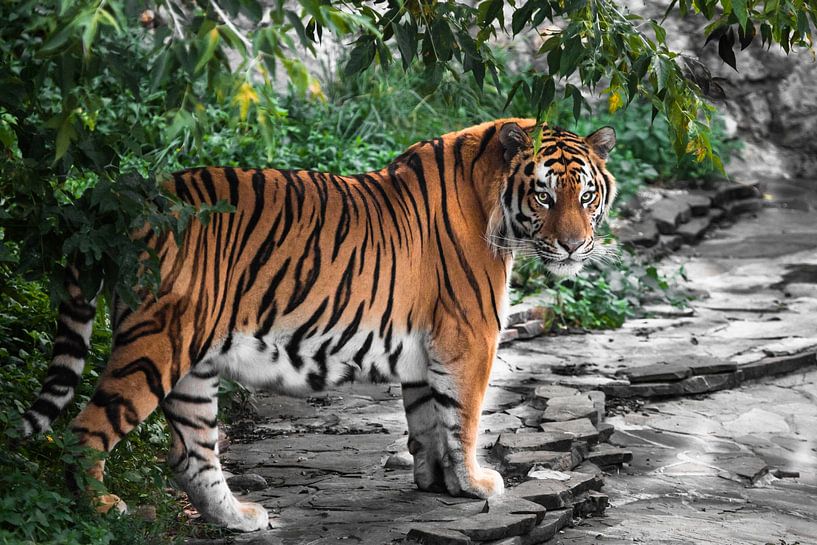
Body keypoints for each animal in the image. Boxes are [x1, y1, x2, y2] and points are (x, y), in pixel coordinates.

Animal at [21, 118, 616, 531]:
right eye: (544, 193)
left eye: (586, 195)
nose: (573, 245)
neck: (492, 197)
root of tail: (128, 199)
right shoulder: (470, 336)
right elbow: (463, 418)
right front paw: (476, 485)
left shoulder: (427, 347)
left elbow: (428, 418)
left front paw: (438, 484)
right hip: (156, 343)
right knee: (85, 431)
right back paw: (101, 509)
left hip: (192, 362)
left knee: (192, 455)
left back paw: (240, 519)